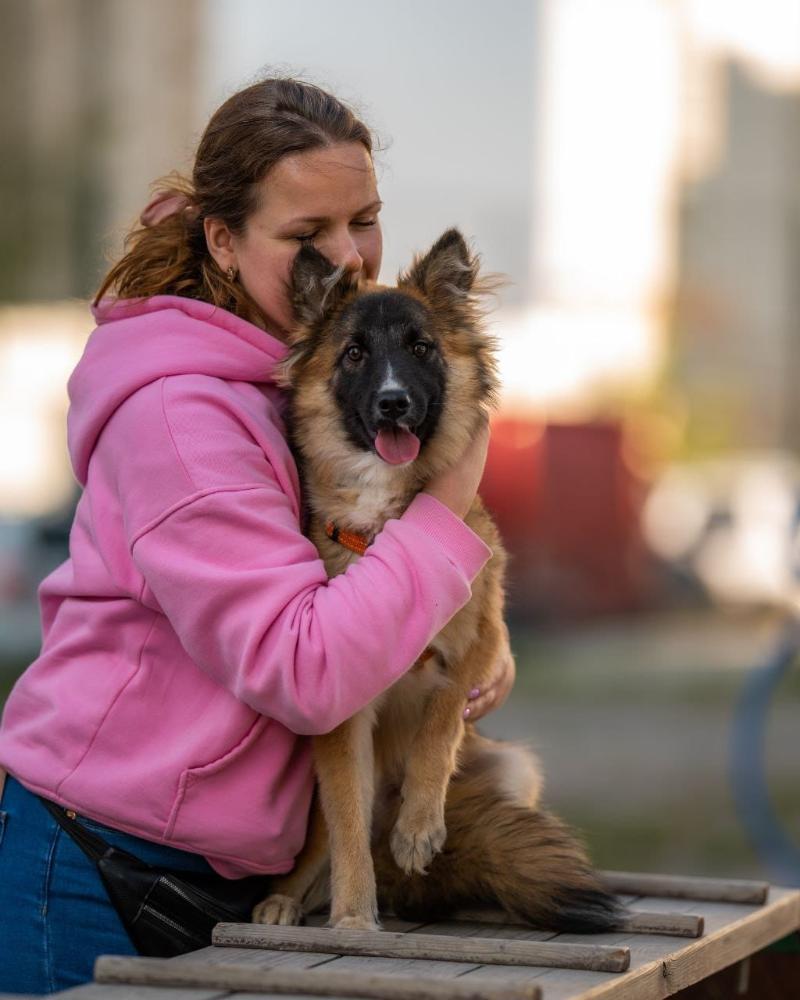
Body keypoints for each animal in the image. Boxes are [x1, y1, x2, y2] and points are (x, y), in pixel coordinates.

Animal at [253, 230, 620, 932]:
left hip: (512, 765)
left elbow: (441, 721)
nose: (394, 401)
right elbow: (346, 826)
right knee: (327, 845)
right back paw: (289, 898)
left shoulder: (480, 643)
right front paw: (353, 917)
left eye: (421, 347)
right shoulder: (342, 716)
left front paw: (420, 823)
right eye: (355, 354)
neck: (387, 515)